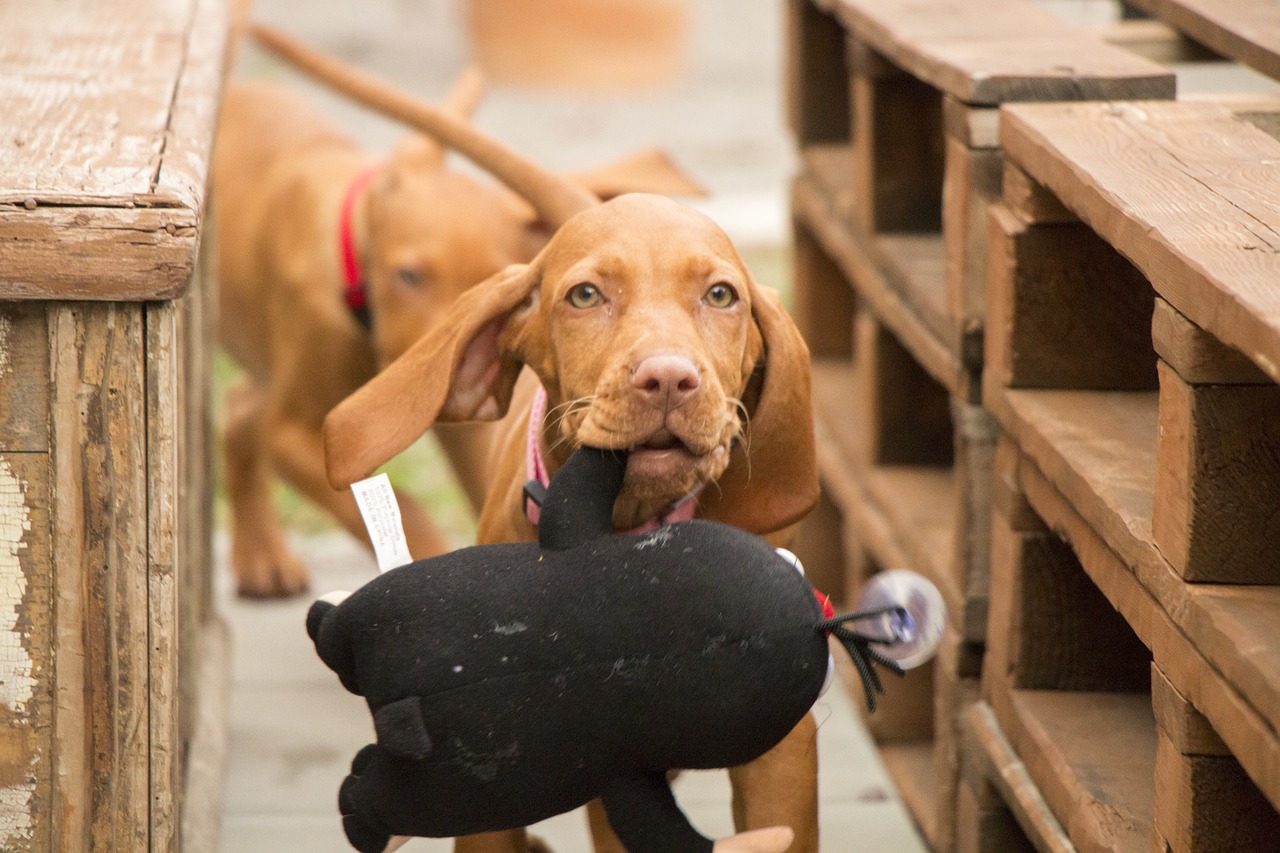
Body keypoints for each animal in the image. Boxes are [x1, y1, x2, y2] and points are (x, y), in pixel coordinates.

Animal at [215, 28, 706, 596]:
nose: (444, 362)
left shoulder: (468, 428)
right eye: (408, 275)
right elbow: (407, 510)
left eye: (496, 278)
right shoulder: (296, 432)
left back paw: (260, 555)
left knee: (240, 408)